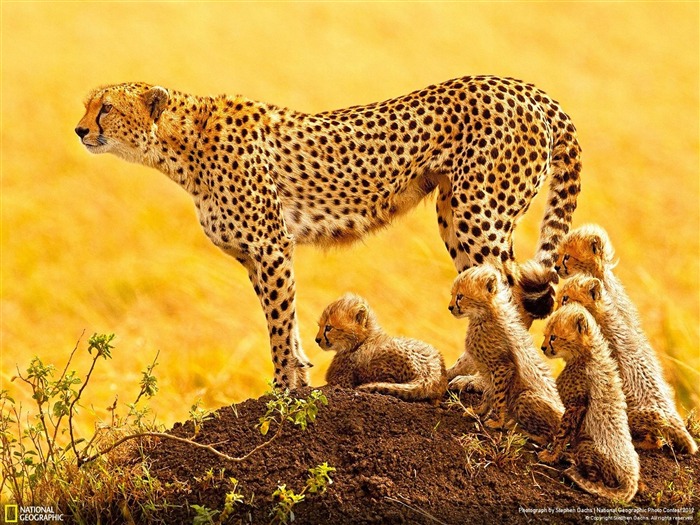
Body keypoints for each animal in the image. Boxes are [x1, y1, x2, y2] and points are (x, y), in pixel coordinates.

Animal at [75, 74, 580, 384]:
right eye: (88, 105)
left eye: (106, 108)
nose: (79, 130)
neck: (182, 143)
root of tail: (524, 87)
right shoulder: (255, 255)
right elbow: (283, 320)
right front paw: (298, 373)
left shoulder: (270, 245)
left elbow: (280, 320)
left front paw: (285, 385)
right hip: (454, 211)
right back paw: (462, 370)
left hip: (478, 211)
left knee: (510, 292)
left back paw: (474, 376)